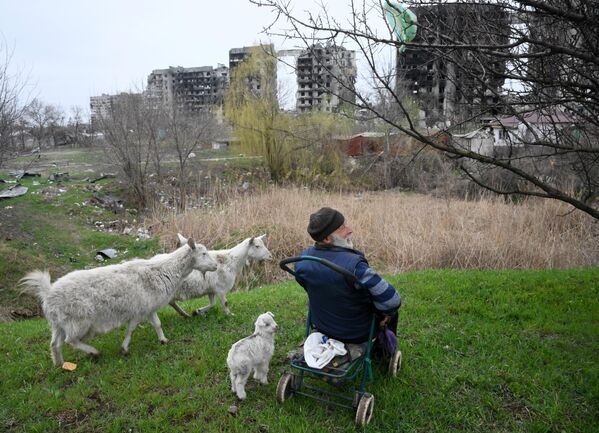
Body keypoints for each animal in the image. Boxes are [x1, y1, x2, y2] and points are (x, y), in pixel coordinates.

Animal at [19, 238, 219, 366]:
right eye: (203, 253)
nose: (216, 266)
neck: (163, 270)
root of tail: (48, 293)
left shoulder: (148, 307)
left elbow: (157, 324)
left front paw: (163, 340)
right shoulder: (139, 310)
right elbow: (131, 329)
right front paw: (124, 348)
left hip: (58, 323)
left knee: (55, 344)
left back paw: (59, 364)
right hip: (78, 320)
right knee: (71, 340)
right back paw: (93, 352)